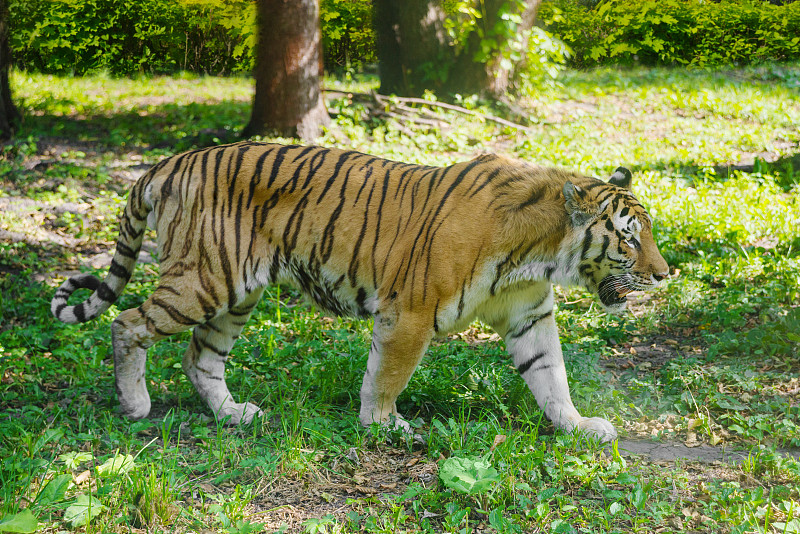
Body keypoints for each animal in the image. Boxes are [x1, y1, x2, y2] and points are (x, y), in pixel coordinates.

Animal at [51, 142, 668, 444]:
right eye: (629, 239)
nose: (665, 275)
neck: (538, 253)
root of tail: (168, 161)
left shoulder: (529, 316)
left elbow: (551, 377)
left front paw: (577, 426)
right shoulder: (411, 311)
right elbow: (388, 374)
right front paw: (383, 425)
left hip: (236, 293)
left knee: (199, 356)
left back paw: (235, 414)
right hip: (203, 280)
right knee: (127, 323)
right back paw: (135, 404)